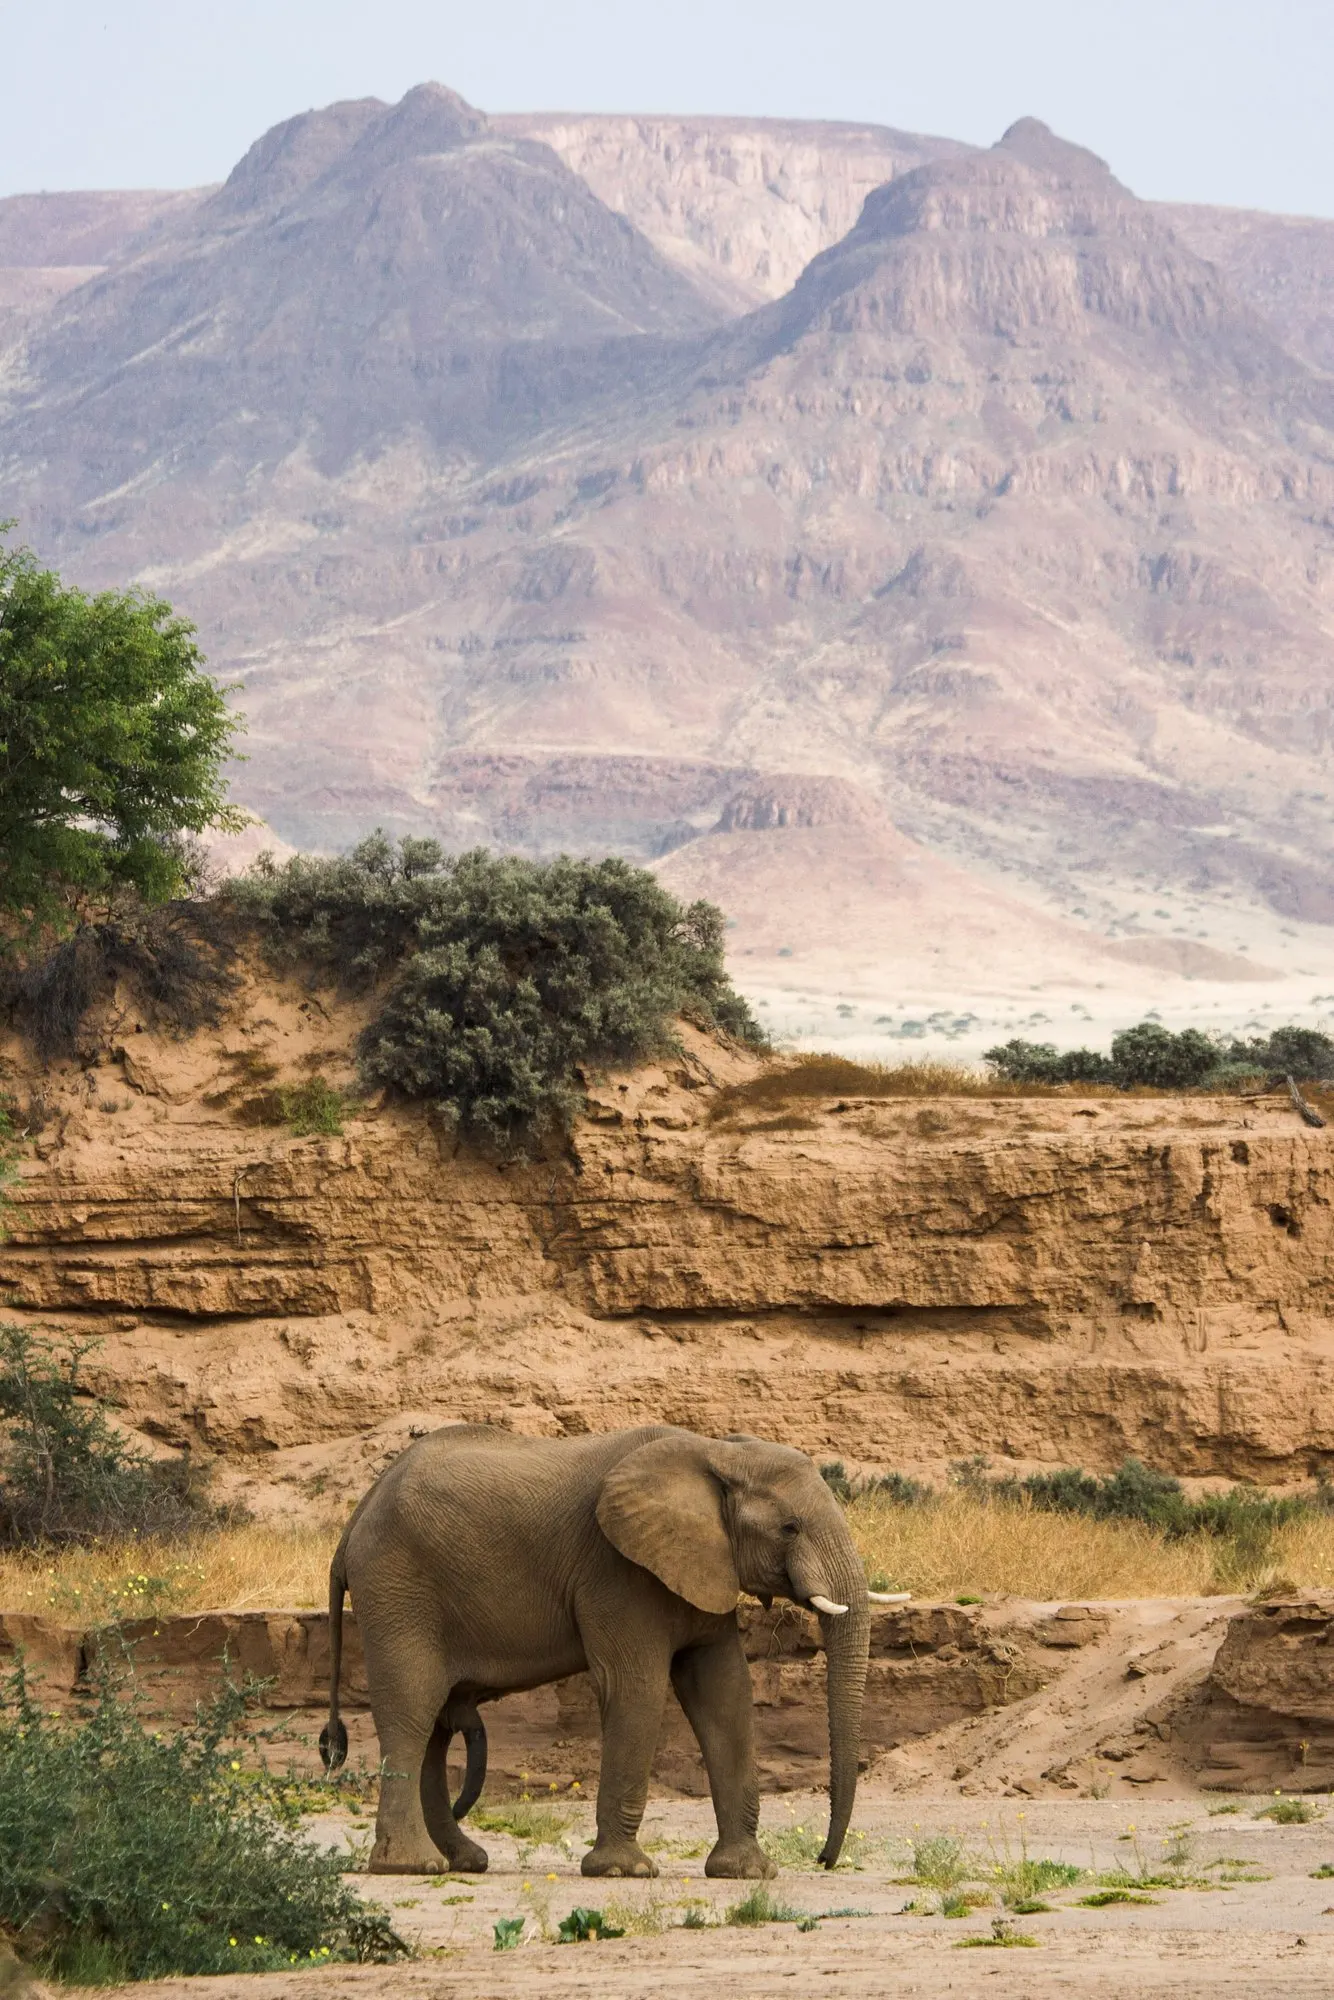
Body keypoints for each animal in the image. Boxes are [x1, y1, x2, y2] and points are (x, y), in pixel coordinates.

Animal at [320, 1422, 895, 1878]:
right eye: (789, 1528)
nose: (824, 1859)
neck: (715, 1451)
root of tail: (354, 1521)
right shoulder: (617, 1571)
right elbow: (636, 1686)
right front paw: (623, 1871)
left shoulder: (701, 1566)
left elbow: (724, 1690)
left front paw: (747, 1873)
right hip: (397, 1589)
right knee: (412, 1712)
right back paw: (414, 1867)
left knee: (437, 1729)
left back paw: (465, 1861)